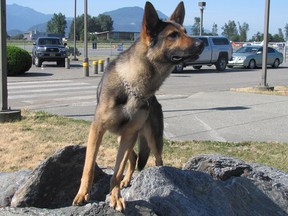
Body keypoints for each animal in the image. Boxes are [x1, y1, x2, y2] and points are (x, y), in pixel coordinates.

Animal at [73, 0, 205, 212]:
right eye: (173, 35)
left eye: (186, 31)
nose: (202, 43)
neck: (134, 85)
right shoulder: (97, 129)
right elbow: (89, 166)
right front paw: (83, 194)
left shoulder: (129, 134)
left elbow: (116, 171)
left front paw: (115, 196)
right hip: (125, 137)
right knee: (133, 158)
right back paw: (127, 180)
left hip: (151, 138)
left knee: (155, 159)